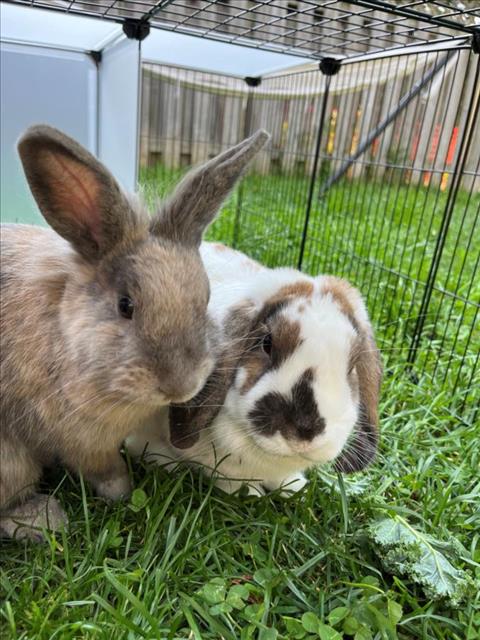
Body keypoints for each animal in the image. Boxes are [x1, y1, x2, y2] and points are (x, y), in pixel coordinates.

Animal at [0, 122, 270, 536]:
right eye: (125, 305)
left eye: (205, 299)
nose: (180, 386)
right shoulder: (81, 439)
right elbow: (104, 470)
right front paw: (124, 492)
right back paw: (44, 518)